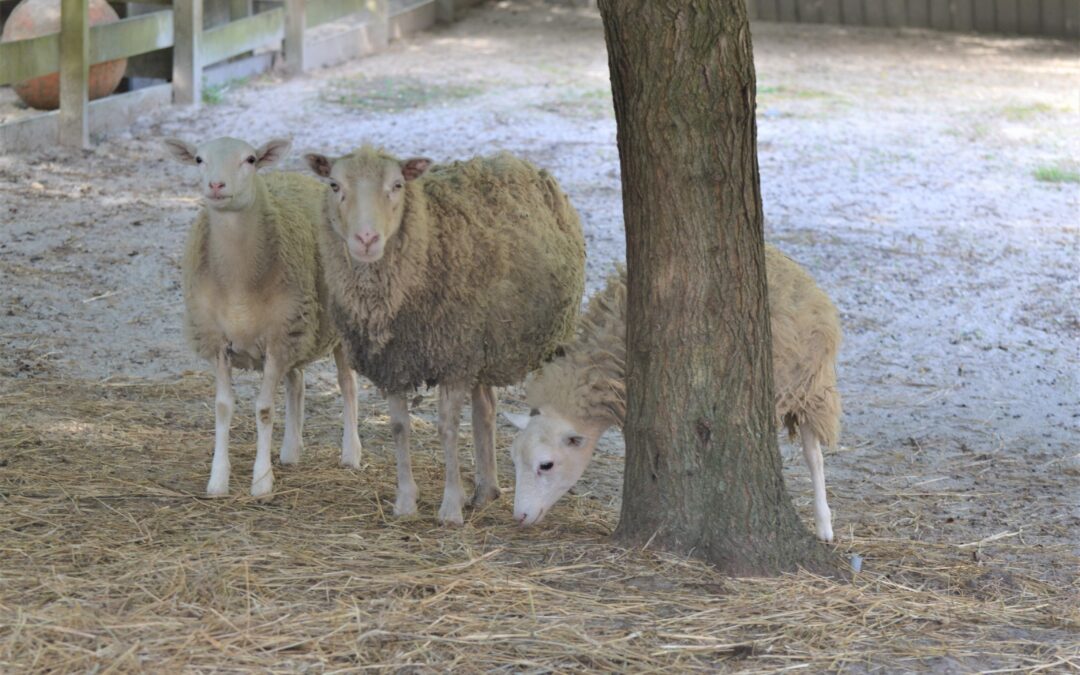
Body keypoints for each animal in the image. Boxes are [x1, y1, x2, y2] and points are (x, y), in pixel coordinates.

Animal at [164, 134, 365, 496]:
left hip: (335, 325)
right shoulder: (220, 341)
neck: (238, 280)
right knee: (297, 382)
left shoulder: (277, 338)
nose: (217, 185)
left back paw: (350, 454)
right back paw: (290, 451)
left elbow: (264, 410)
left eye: (250, 160)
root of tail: (297, 176)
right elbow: (223, 407)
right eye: (199, 159)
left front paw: (261, 482)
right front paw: (218, 480)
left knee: (348, 385)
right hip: (297, 329)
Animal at [304, 144, 587, 524]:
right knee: (485, 410)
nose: (366, 239)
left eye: (397, 185)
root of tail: (514, 160)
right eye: (334, 185)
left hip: (536, 341)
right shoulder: (396, 363)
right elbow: (400, 427)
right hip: (482, 347)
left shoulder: (453, 359)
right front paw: (405, 502)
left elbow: (447, 429)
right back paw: (485, 489)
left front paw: (451, 507)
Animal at [505, 245, 842, 540]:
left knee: (814, 456)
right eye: (514, 458)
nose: (519, 517)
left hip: (811, 387)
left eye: (546, 465)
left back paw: (824, 526)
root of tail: (785, 263)